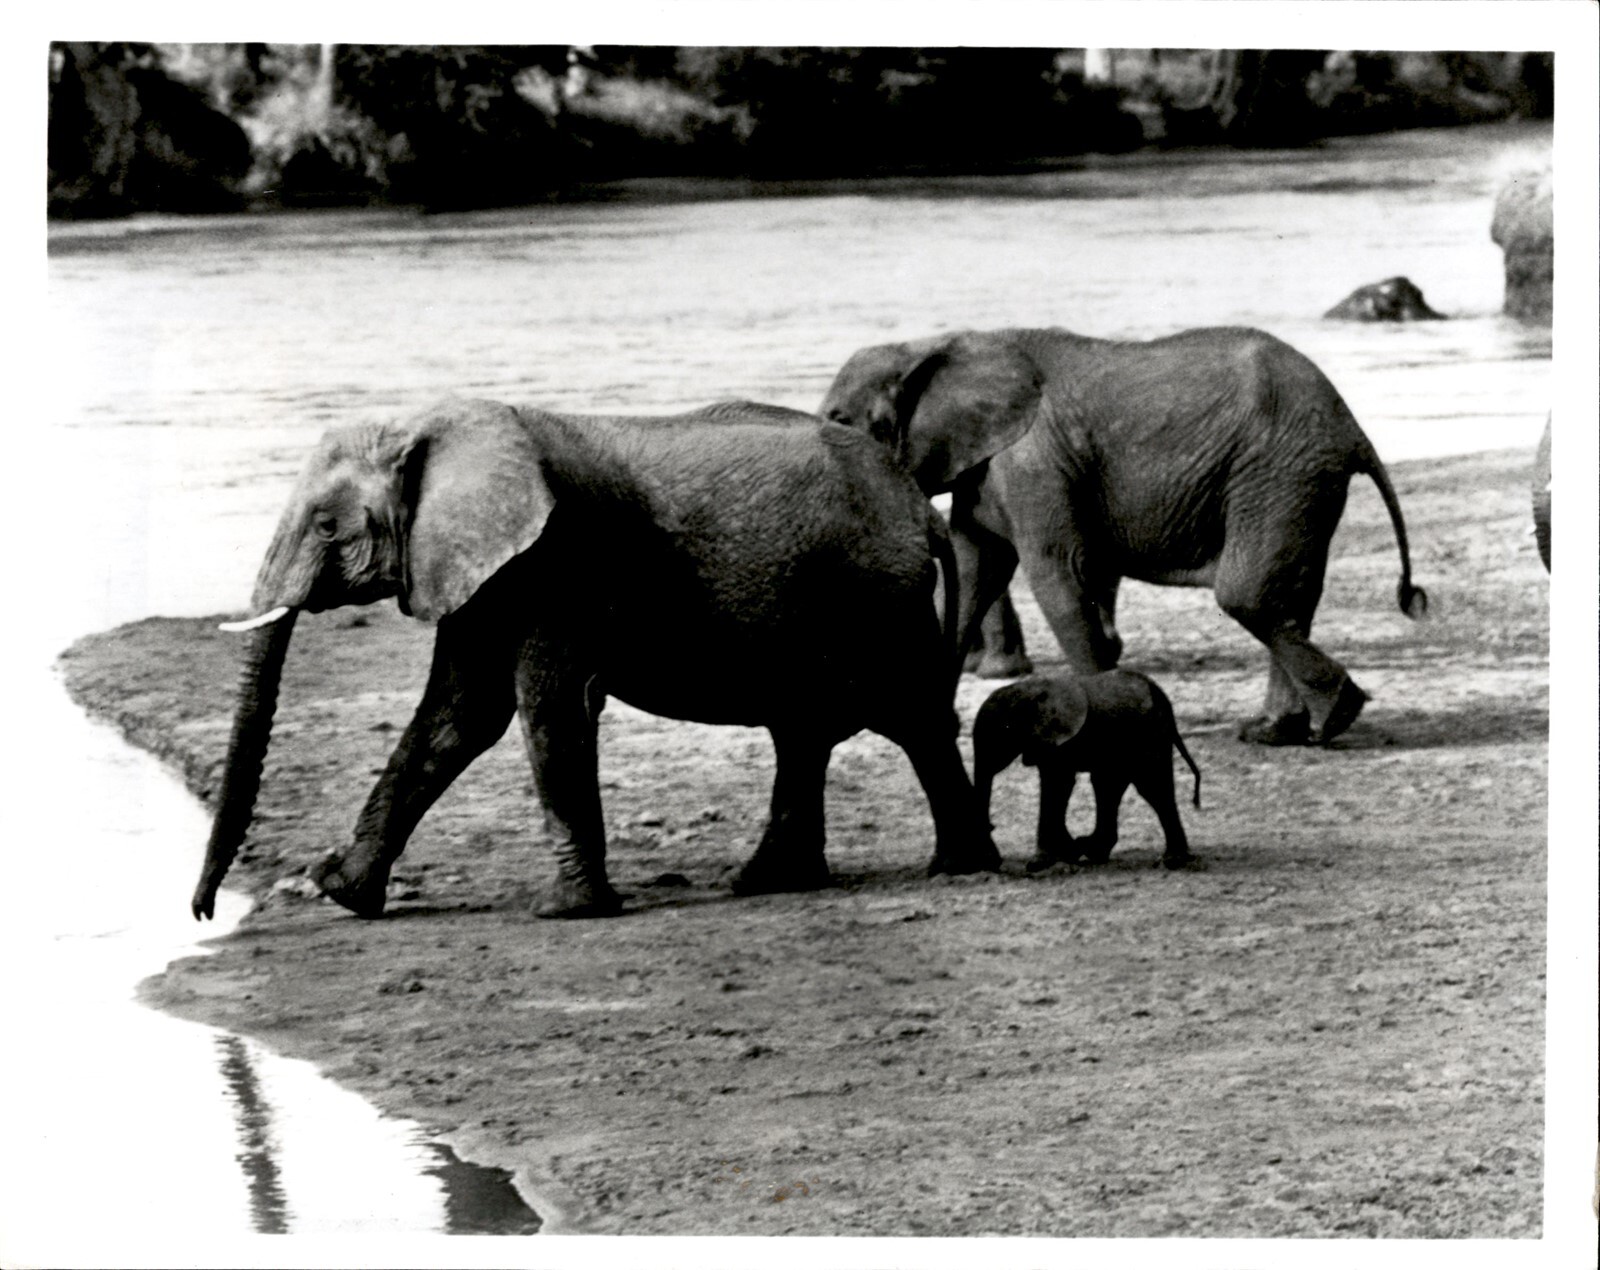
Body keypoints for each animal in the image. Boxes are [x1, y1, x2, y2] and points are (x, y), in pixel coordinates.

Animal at [191, 397, 1000, 923]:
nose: (201, 912)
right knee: (805, 732)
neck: (432, 423)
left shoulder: (558, 562)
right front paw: (342, 890)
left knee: (908, 719)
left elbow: (547, 706)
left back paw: (959, 869)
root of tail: (921, 508)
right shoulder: (484, 571)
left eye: (328, 526)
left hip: (876, 599)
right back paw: (772, 883)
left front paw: (569, 912)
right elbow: (458, 716)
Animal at [820, 325, 1428, 746]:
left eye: (840, 419)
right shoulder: (984, 470)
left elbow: (1057, 577)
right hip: (1297, 482)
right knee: (1286, 598)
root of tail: (1352, 426)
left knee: (1248, 595)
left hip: (1278, 474)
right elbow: (973, 579)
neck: (928, 345)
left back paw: (1332, 718)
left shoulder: (1035, 464)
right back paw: (1279, 733)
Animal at [972, 669, 1200, 871]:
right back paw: (1093, 851)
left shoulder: (1060, 740)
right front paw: (1066, 852)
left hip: (1147, 733)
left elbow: (1057, 784)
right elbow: (1057, 785)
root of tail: (1160, 695)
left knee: (1150, 787)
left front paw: (1039, 863)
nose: (992, 826)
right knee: (1109, 784)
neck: (1030, 687)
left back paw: (1172, 861)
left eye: (1003, 732)